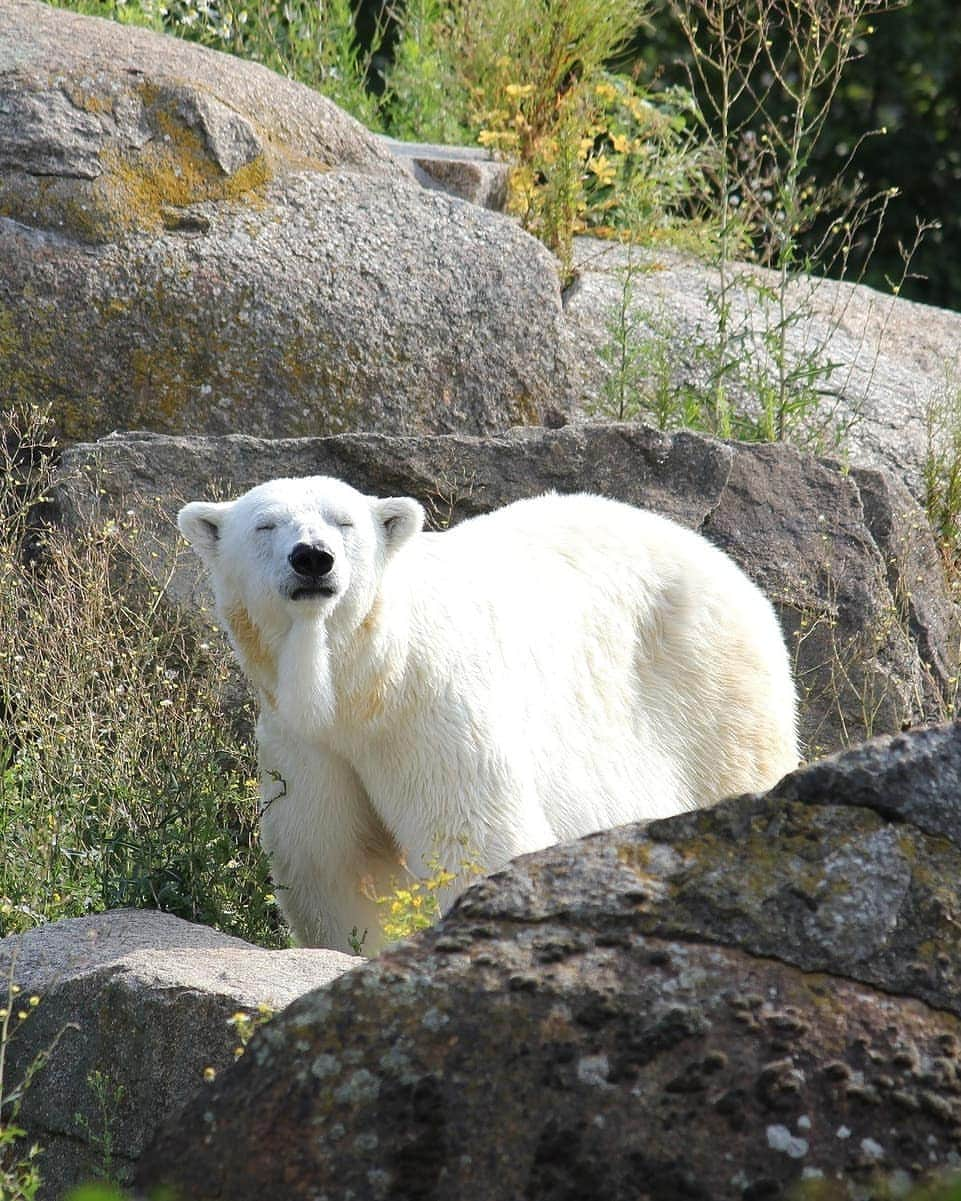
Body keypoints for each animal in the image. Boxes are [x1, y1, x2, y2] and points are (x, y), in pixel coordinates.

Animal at [177, 473, 797, 951]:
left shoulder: (430, 704)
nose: (313, 558)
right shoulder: (305, 741)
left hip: (711, 693)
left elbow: (472, 834)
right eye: (266, 525)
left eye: (344, 523)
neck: (361, 681)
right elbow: (334, 860)